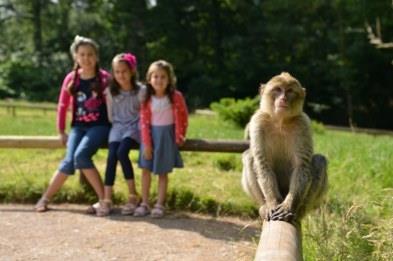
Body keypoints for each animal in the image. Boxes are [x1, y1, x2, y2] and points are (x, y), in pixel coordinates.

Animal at [240, 72, 326, 222]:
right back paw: (264, 206)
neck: (280, 121)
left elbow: (301, 166)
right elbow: (263, 164)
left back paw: (298, 211)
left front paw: (288, 206)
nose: (283, 98)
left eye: (290, 91)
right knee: (249, 157)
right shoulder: (257, 121)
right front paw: (272, 203)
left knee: (319, 161)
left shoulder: (303, 124)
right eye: (278, 90)